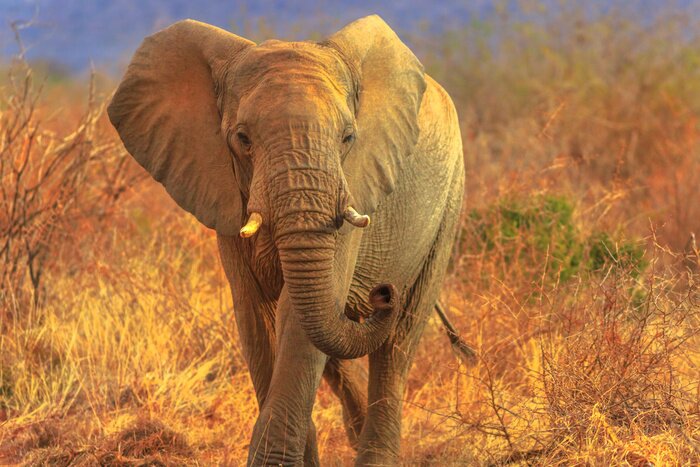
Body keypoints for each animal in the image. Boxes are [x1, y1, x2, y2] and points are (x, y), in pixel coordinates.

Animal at [108, 15, 468, 466]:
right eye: (242, 139)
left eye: (348, 138)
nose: (383, 291)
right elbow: (257, 316)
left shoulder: (352, 188)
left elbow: (296, 317)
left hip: (448, 203)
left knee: (398, 341)